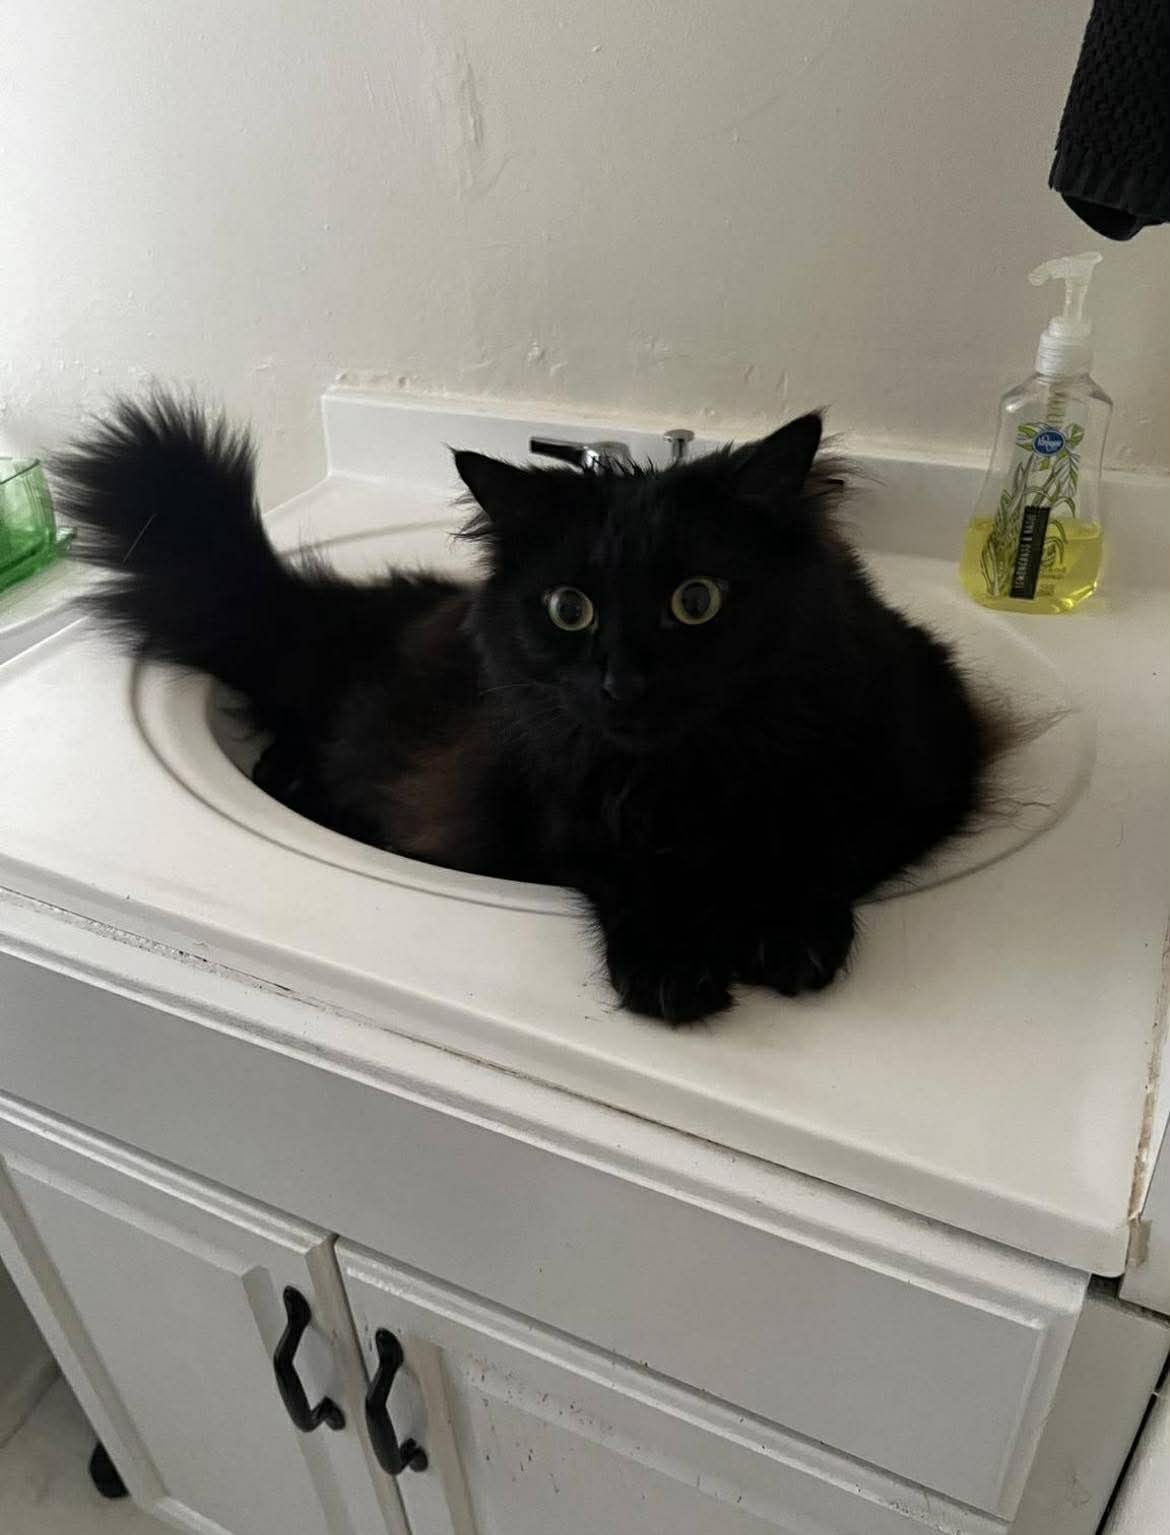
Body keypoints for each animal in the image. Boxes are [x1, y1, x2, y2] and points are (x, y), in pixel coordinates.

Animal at [55, 394, 995, 1023]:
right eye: (568, 609)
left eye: (696, 600)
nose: (622, 683)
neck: (685, 778)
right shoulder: (564, 808)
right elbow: (625, 873)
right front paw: (671, 964)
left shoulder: (920, 767)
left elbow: (818, 841)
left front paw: (786, 931)